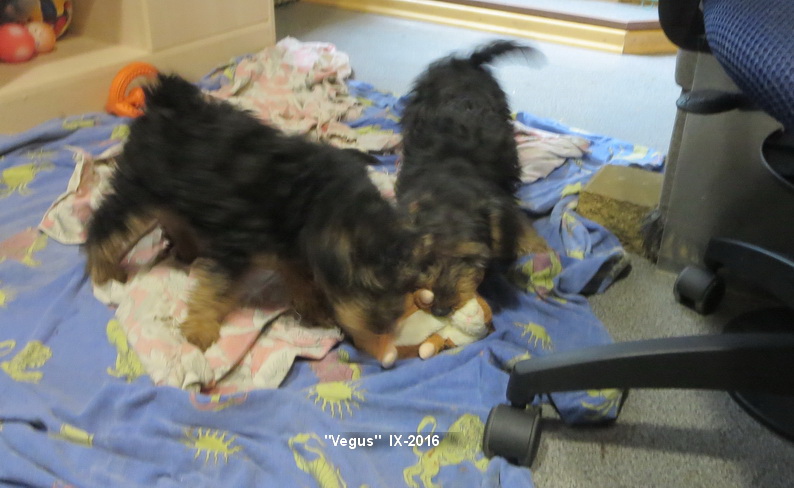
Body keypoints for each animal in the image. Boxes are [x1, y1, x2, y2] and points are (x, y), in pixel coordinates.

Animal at [84, 74, 418, 366]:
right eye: (365, 285)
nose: (384, 326)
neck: (313, 201)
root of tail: (164, 104)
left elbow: (298, 272)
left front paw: (313, 305)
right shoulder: (235, 244)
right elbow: (215, 287)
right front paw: (200, 329)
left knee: (173, 214)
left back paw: (187, 248)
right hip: (140, 189)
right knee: (106, 225)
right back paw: (103, 269)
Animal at [396, 40, 548, 317]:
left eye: (469, 260)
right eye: (427, 258)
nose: (440, 310)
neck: (453, 177)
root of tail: (465, 62)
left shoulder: (503, 192)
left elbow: (518, 221)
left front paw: (536, 246)